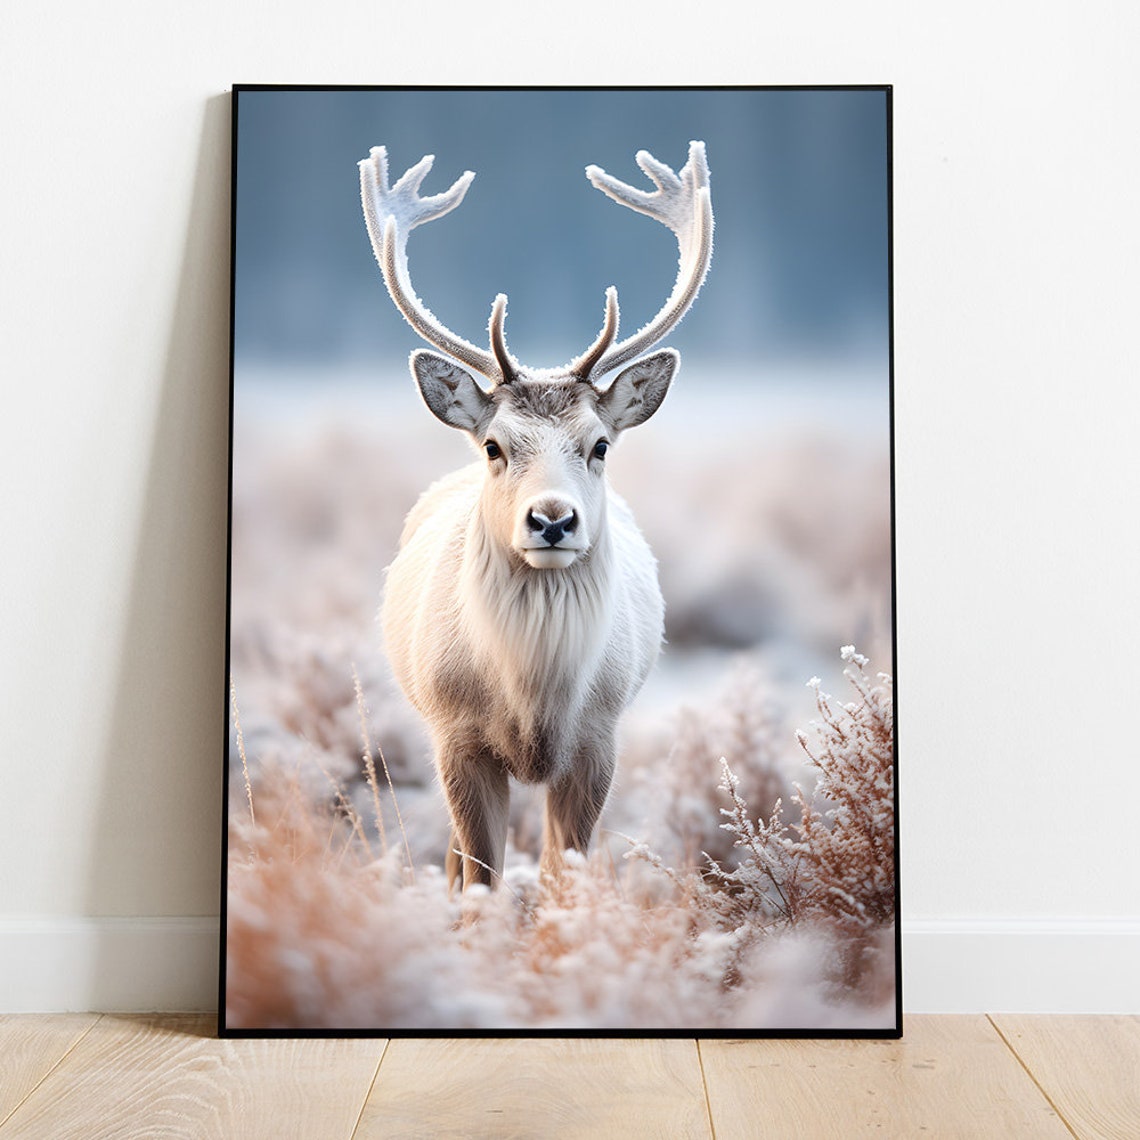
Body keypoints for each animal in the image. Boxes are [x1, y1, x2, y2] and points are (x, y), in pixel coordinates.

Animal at [360, 140, 713, 891]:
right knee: (453, 858)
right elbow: (480, 877)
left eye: (600, 444)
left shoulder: (599, 739)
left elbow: (564, 874)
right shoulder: (455, 737)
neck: (533, 700)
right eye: (495, 445)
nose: (552, 521)